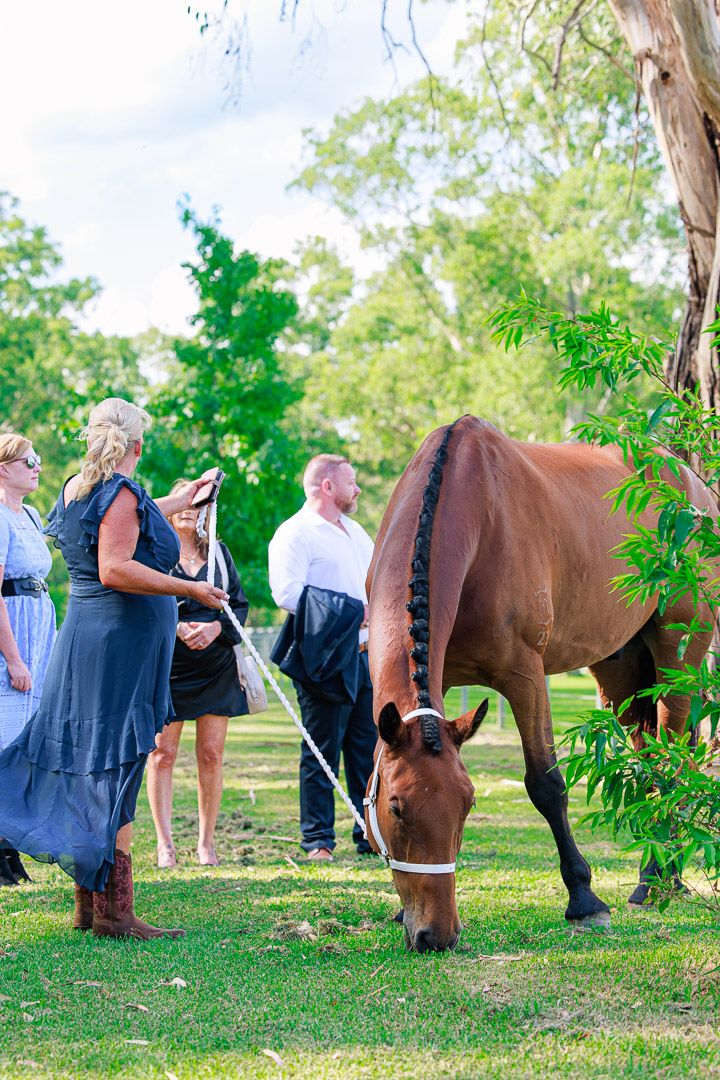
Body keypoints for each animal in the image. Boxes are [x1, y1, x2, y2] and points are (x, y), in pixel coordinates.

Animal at [365, 415, 716, 952]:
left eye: (467, 805)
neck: (472, 513)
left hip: (678, 654)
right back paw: (665, 876)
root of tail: (692, 483)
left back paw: (655, 880)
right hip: (621, 673)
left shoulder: (524, 676)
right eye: (396, 808)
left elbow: (546, 784)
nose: (437, 935)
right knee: (651, 760)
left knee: (672, 762)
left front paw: (585, 899)